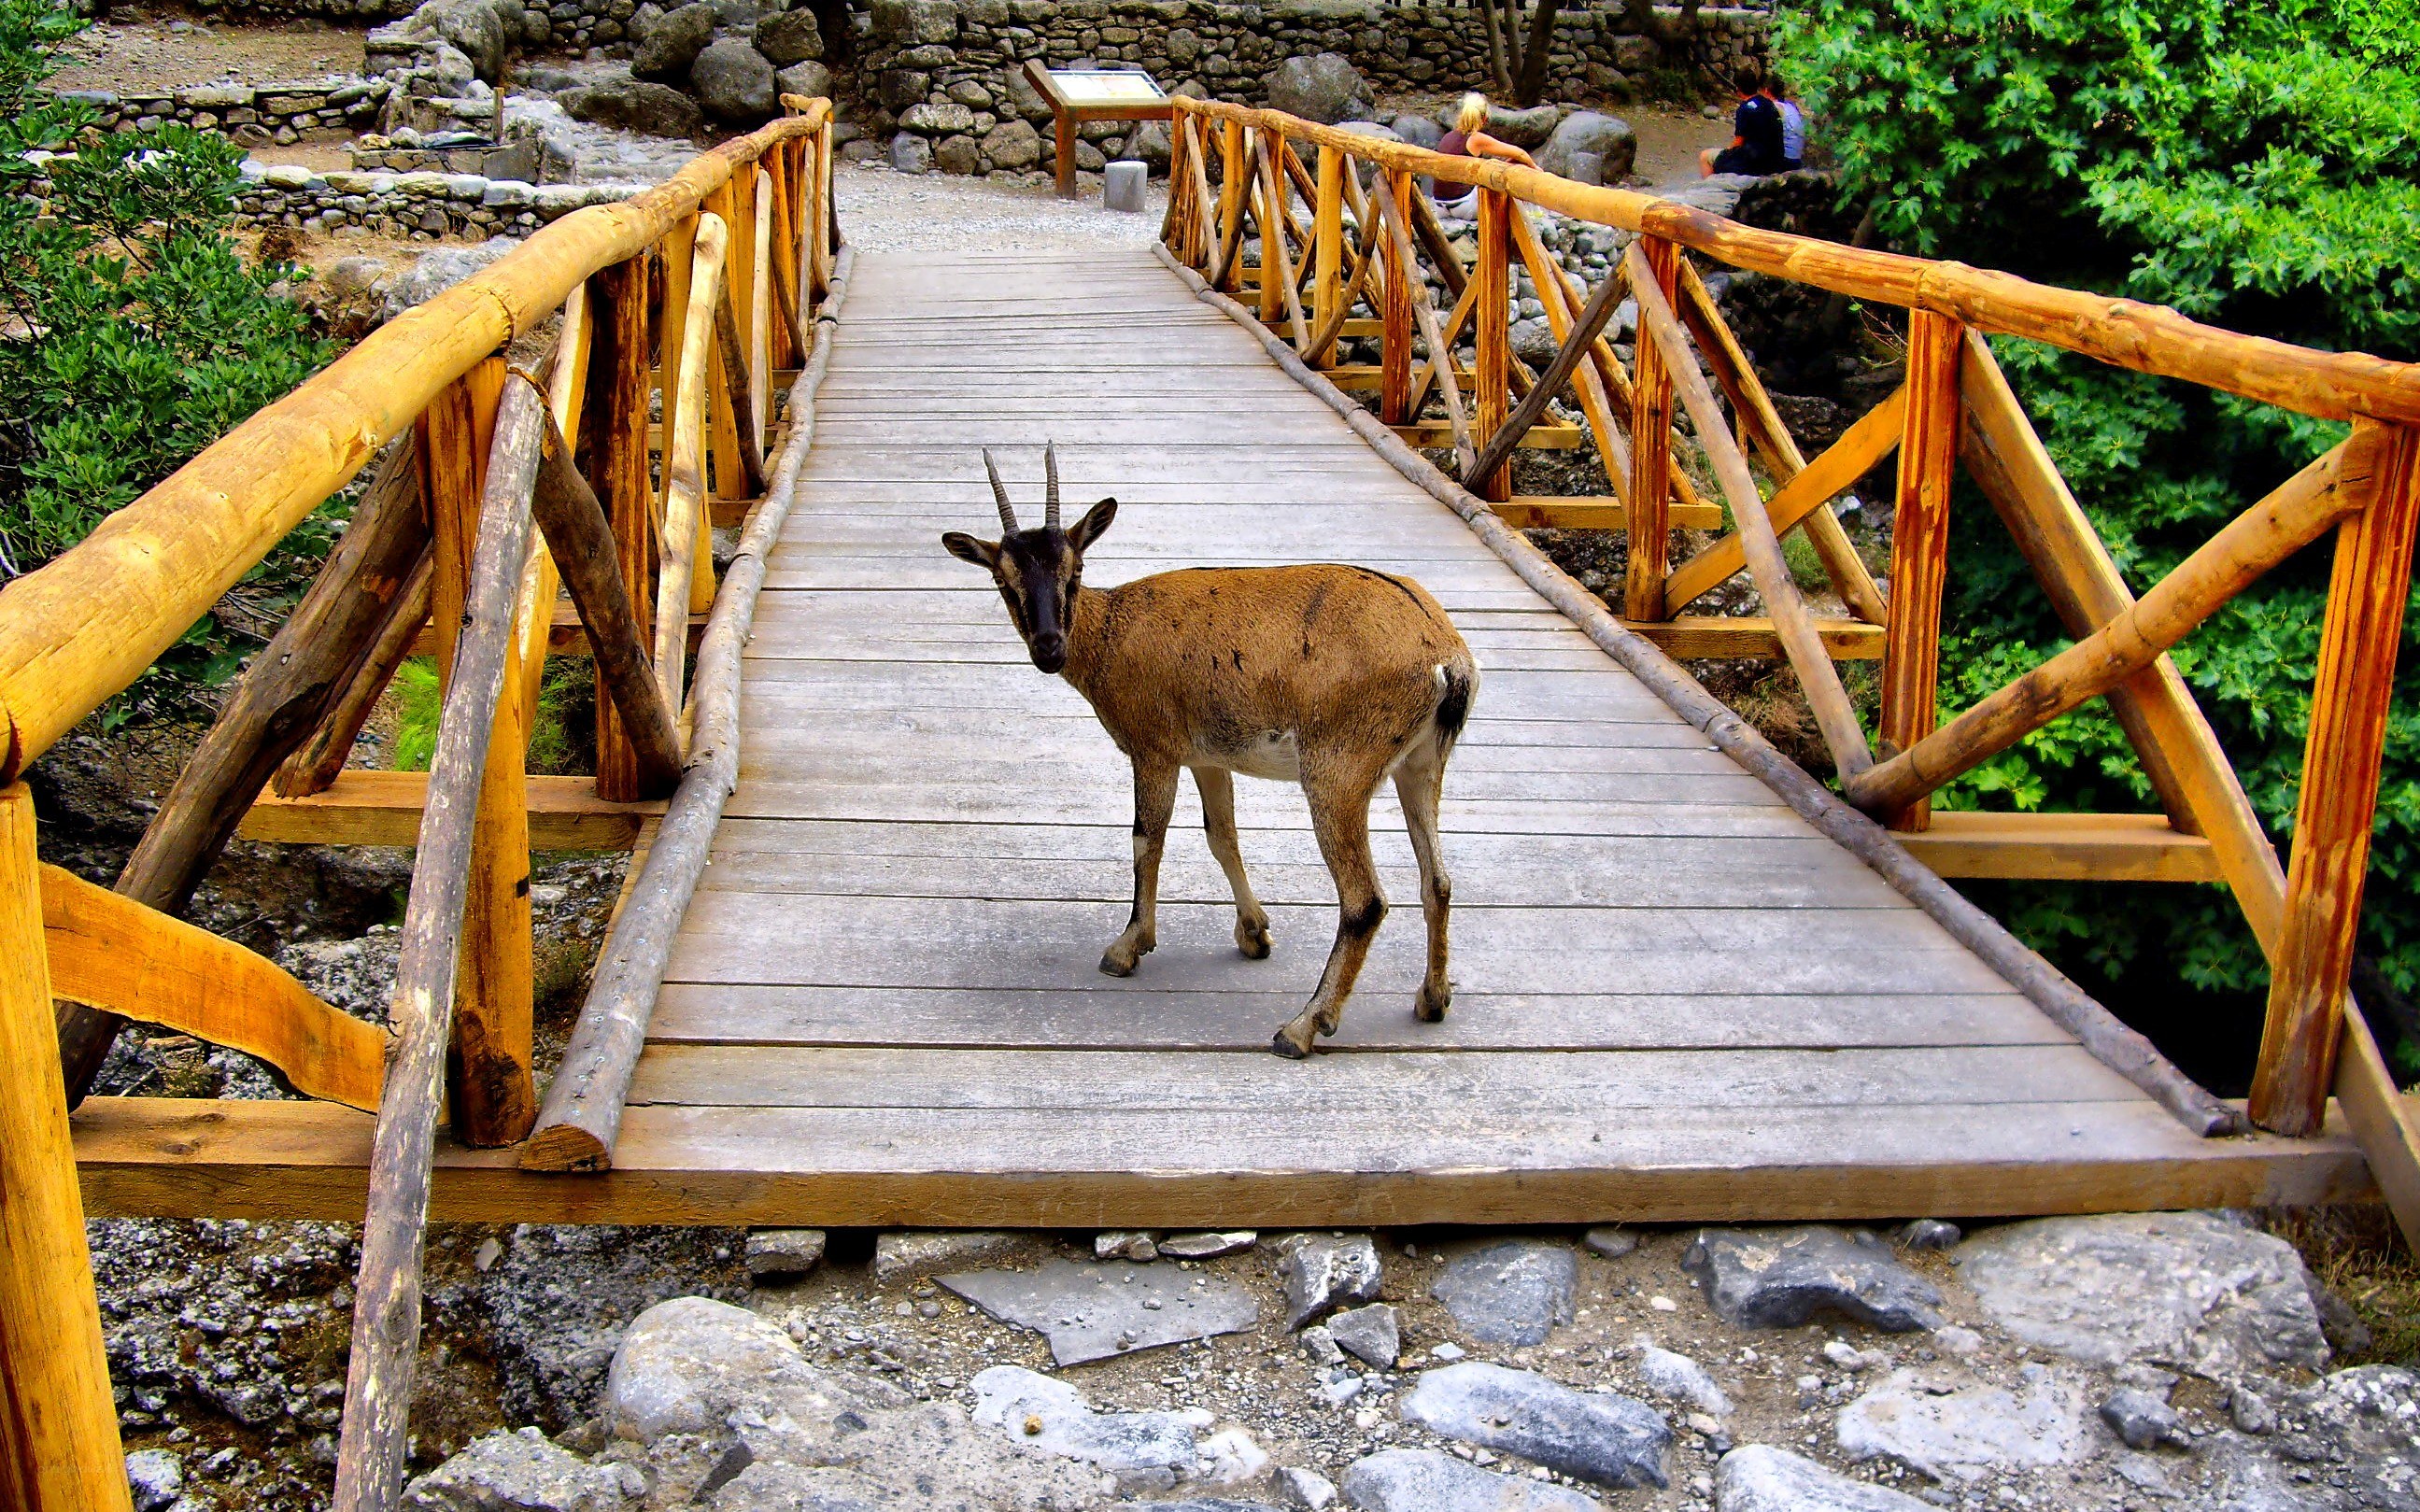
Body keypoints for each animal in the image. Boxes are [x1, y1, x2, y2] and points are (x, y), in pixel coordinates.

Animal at [942, 445, 1480, 1057]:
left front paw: (1127, 947)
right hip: (1421, 764)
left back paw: (1302, 1026)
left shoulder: (1153, 748)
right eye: (1003, 581)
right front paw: (1254, 934)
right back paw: (1431, 1000)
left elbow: (1145, 840)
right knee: (1437, 880)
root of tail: (1446, 657)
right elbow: (1222, 836)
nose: (1049, 648)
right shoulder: (1207, 756)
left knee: (1364, 900)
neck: (1111, 635)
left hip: (1337, 771)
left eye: (1073, 572)